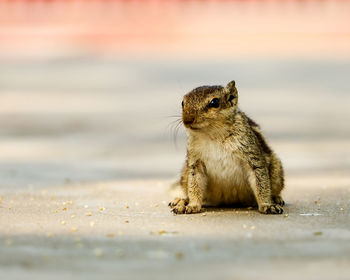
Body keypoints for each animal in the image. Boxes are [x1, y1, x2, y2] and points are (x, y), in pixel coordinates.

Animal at [169, 80, 284, 214]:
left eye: (214, 102)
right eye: (182, 102)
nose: (187, 120)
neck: (212, 135)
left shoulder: (252, 156)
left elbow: (261, 182)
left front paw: (267, 205)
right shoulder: (194, 163)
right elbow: (194, 185)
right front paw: (192, 205)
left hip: (276, 172)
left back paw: (276, 199)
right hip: (184, 174)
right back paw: (182, 201)